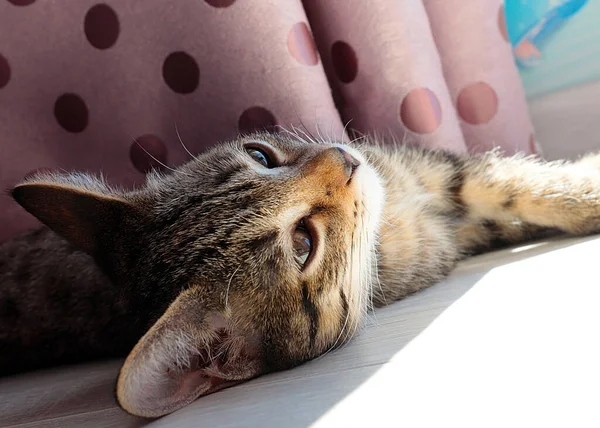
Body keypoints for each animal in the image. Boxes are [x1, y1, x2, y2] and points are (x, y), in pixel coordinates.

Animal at [3, 131, 600, 418]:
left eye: (262, 155)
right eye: (302, 243)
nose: (345, 156)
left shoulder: (438, 172)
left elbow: (519, 182)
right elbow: (520, 186)